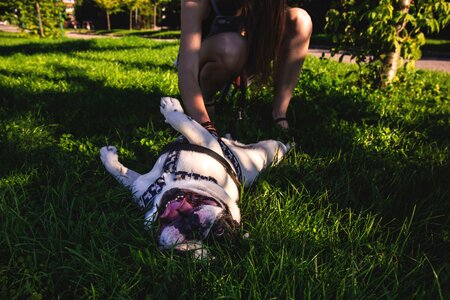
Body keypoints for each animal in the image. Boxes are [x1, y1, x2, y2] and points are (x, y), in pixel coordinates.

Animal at [100, 96, 288, 258]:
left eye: (182, 253)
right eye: (219, 229)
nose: (195, 230)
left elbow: (188, 125)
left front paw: (170, 107)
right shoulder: (139, 185)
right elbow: (122, 174)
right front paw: (107, 155)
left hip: (264, 156)